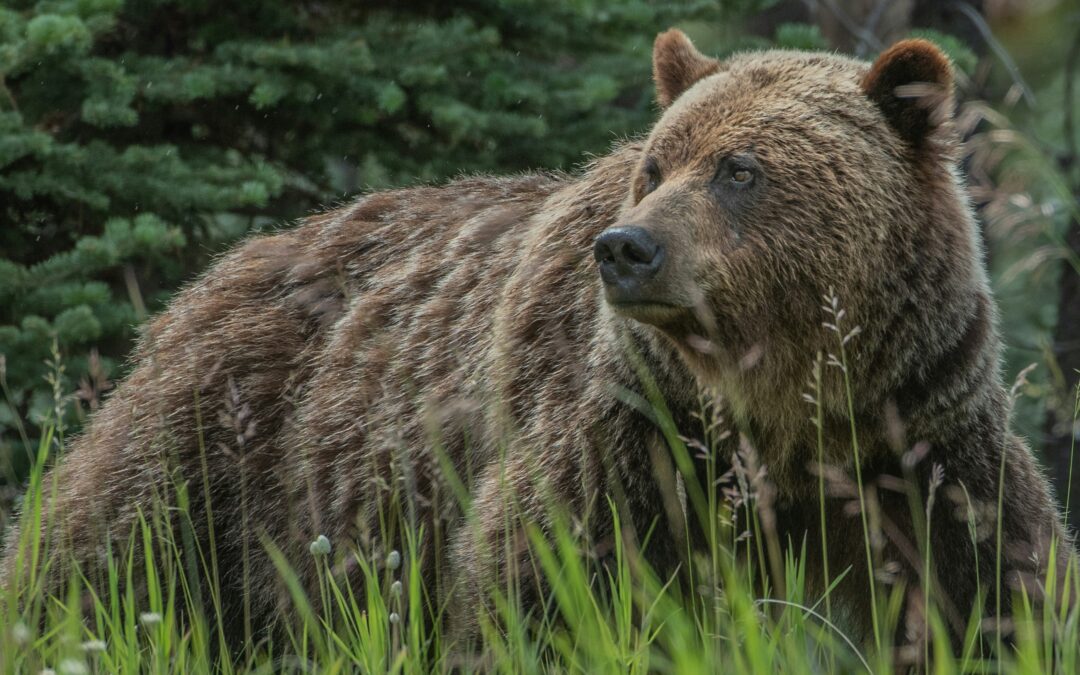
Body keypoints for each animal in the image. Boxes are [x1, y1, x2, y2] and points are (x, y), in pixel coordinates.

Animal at [2, 29, 1071, 657]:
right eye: (657, 163)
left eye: (740, 168)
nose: (627, 248)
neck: (782, 399)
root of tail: (217, 272)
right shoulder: (637, 431)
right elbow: (549, 577)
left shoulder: (915, 434)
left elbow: (992, 584)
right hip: (223, 442)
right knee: (99, 558)